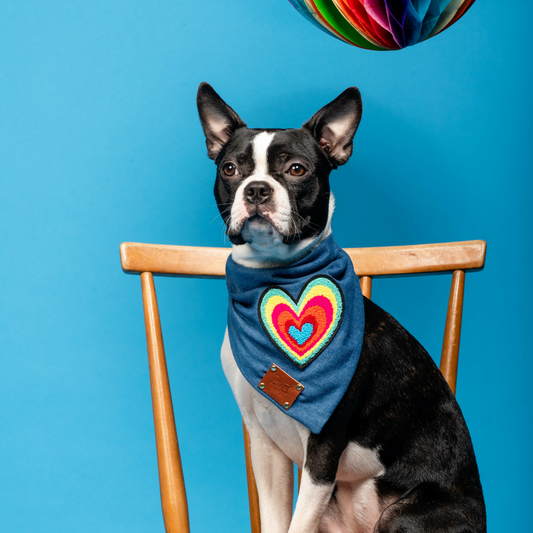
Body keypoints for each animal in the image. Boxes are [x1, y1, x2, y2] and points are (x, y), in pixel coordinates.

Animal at [196, 83, 486, 532]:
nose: (257, 189)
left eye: (297, 169)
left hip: (401, 515)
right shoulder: (263, 444)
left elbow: (298, 523)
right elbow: (277, 520)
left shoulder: (323, 448)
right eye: (229, 169)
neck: (274, 278)